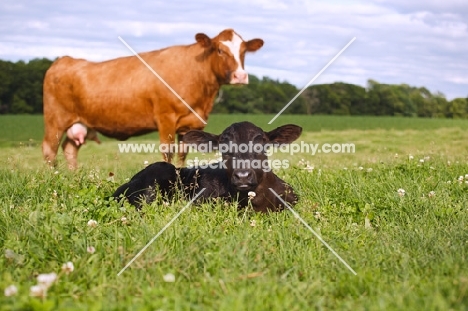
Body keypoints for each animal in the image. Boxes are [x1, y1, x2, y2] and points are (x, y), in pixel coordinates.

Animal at [43, 29, 264, 169]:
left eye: (243, 51)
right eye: (220, 50)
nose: (240, 76)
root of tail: (65, 60)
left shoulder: (188, 125)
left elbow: (182, 154)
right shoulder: (166, 118)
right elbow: (167, 152)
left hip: (80, 123)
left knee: (69, 148)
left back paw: (74, 177)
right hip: (55, 120)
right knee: (49, 149)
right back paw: (51, 179)